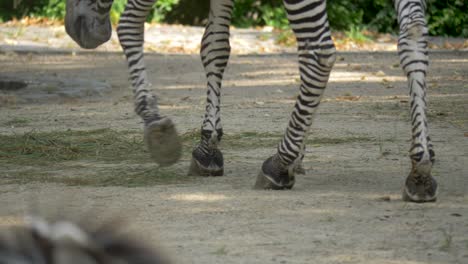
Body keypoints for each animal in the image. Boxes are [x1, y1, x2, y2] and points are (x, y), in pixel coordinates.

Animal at [64, 0, 436, 202]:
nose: (76, 30)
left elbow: (130, 24)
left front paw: (156, 123)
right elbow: (215, 45)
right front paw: (209, 145)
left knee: (318, 51)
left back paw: (279, 164)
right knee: (414, 37)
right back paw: (421, 166)